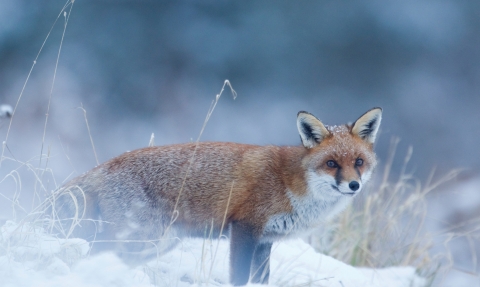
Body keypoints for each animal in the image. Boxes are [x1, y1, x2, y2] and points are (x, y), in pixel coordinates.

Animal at [51, 107, 382, 286]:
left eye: (359, 162)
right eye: (332, 164)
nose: (354, 185)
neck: (292, 185)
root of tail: (104, 166)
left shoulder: (266, 240)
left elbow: (261, 279)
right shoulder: (245, 227)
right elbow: (238, 277)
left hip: (155, 244)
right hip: (142, 239)